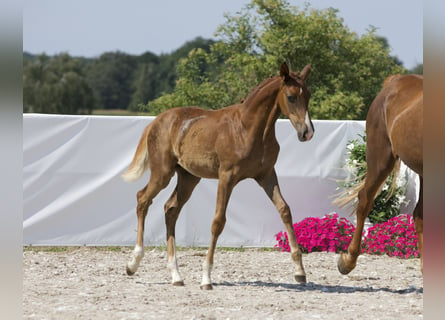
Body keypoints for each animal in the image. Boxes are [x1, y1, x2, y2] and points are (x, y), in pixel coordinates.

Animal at [123, 61, 314, 288]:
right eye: (291, 96)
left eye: (308, 95)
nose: (307, 132)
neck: (248, 129)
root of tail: (156, 121)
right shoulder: (227, 177)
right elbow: (218, 221)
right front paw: (206, 278)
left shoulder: (266, 175)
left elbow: (284, 210)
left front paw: (300, 271)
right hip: (163, 173)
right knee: (143, 199)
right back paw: (133, 263)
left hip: (189, 177)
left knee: (171, 209)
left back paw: (176, 275)